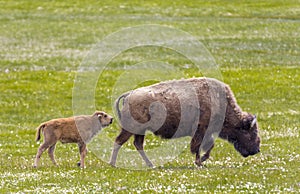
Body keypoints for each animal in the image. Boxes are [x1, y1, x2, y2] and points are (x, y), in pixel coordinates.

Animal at [110, 77, 260, 167]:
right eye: (250, 132)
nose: (257, 150)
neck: (220, 102)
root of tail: (129, 95)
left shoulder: (204, 133)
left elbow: (207, 147)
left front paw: (201, 161)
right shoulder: (201, 131)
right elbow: (199, 146)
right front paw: (199, 162)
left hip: (140, 131)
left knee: (137, 144)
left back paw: (150, 164)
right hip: (131, 129)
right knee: (119, 141)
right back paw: (113, 164)